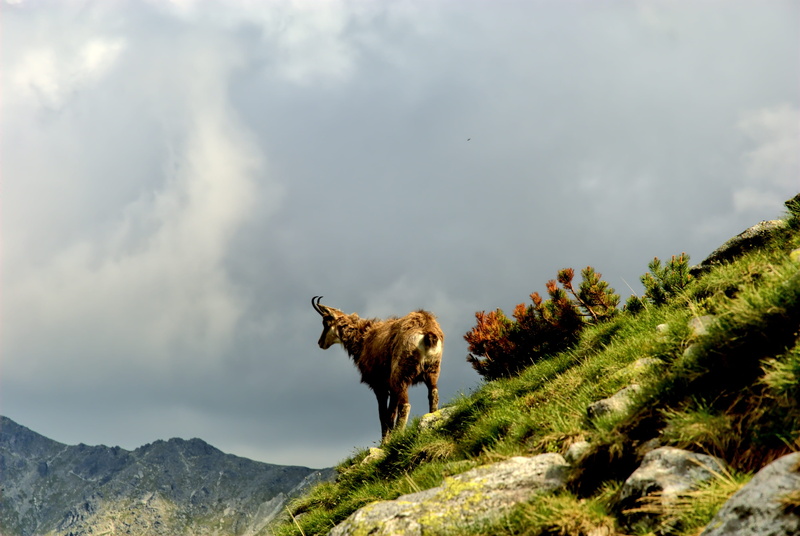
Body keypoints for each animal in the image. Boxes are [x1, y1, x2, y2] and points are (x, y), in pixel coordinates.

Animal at [311, 296, 444, 440]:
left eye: (325, 323)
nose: (320, 343)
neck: (363, 339)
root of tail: (427, 332)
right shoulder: (390, 388)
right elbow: (391, 412)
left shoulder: (379, 385)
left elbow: (383, 414)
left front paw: (385, 441)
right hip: (432, 370)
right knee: (433, 393)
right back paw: (431, 417)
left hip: (400, 374)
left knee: (405, 405)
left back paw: (399, 434)